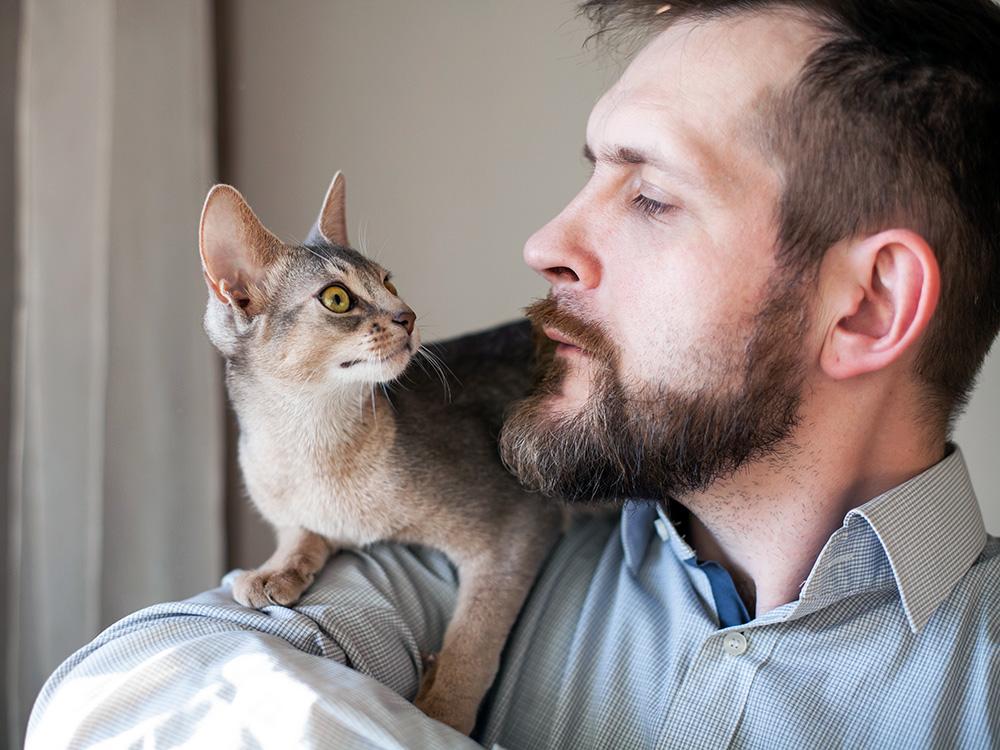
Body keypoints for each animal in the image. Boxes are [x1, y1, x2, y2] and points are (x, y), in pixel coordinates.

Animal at [195, 173, 564, 736]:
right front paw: (275, 571)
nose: (406, 315)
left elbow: (473, 640)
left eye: (389, 282)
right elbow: (303, 532)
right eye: (337, 298)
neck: (308, 448)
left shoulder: (516, 525)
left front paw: (440, 718)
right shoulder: (302, 511)